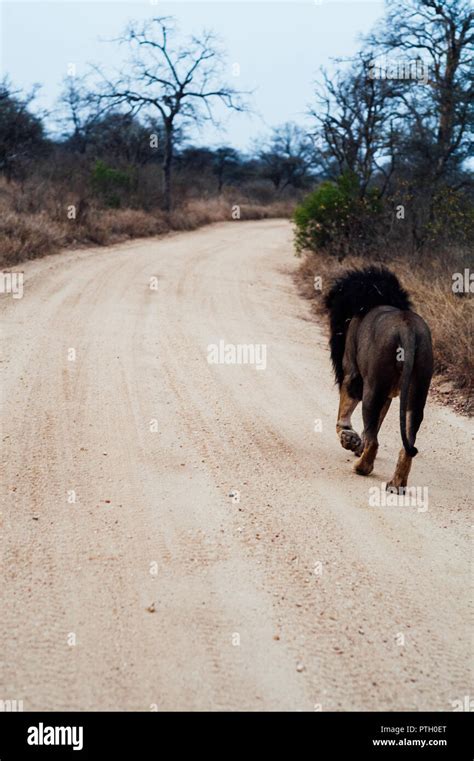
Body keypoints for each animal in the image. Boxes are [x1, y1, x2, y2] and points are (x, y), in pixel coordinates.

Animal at [326, 268, 434, 492]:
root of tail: (407, 329)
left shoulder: (353, 373)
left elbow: (345, 411)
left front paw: (348, 438)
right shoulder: (388, 393)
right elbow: (375, 424)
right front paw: (357, 444)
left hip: (372, 390)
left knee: (375, 441)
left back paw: (361, 467)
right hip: (416, 394)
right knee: (407, 445)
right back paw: (396, 483)